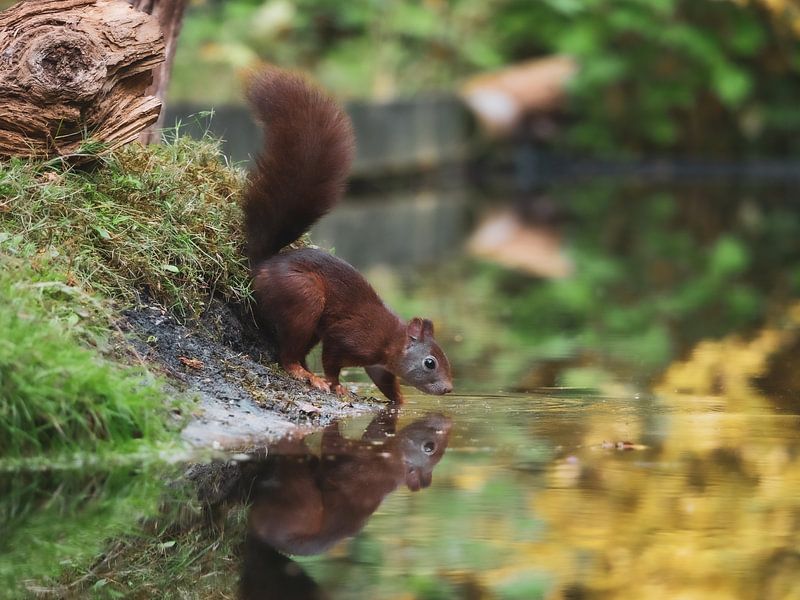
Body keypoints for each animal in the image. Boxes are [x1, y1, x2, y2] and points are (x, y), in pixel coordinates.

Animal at [244, 68, 454, 400]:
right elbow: (332, 362)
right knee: (288, 354)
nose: (448, 389)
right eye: (430, 362)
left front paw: (399, 402)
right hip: (303, 297)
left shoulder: (378, 365)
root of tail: (262, 265)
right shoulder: (347, 337)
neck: (390, 340)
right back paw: (305, 374)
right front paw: (337, 385)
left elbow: (385, 381)